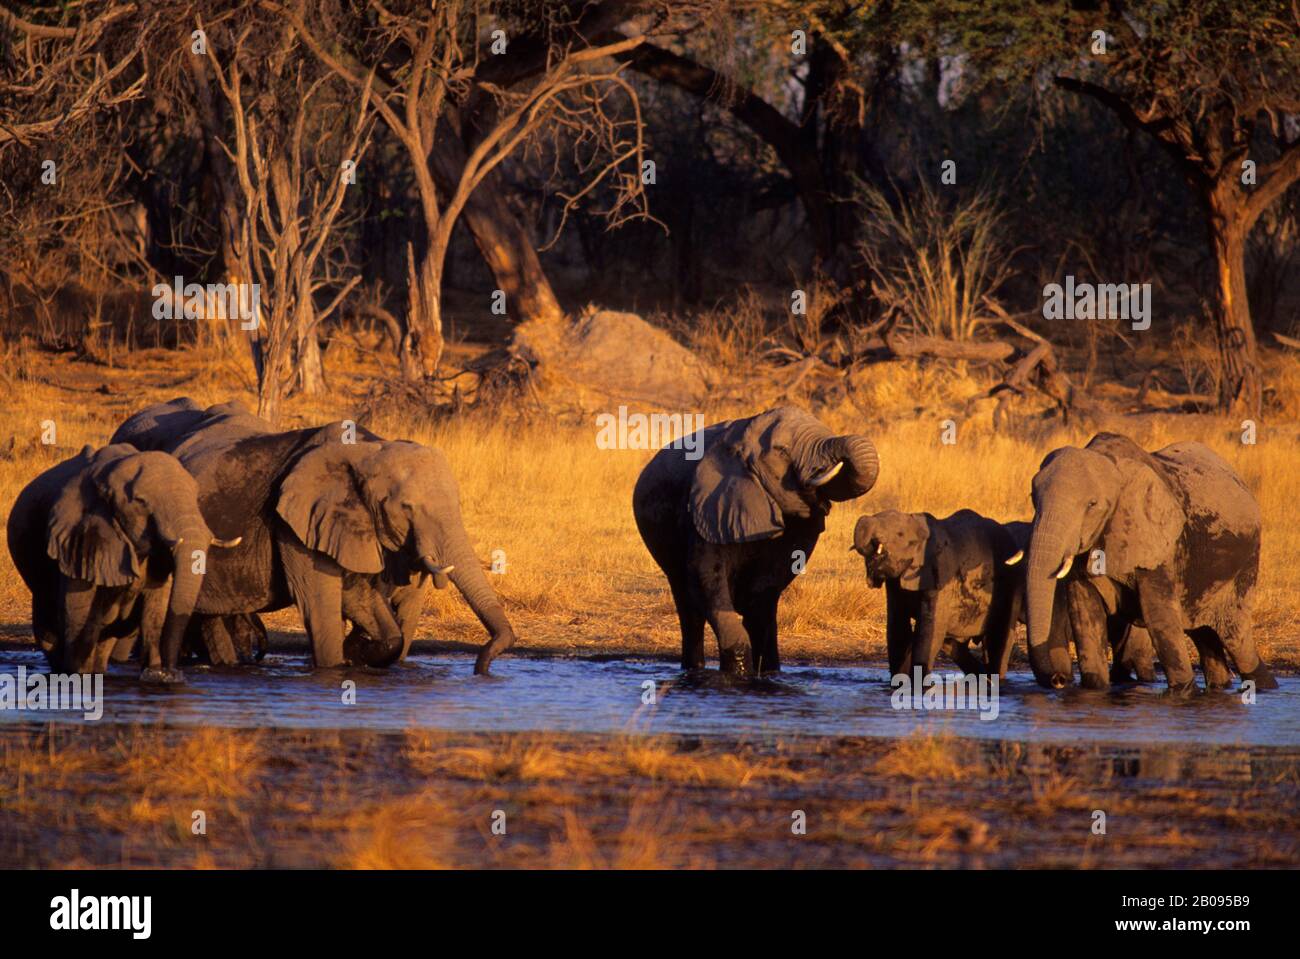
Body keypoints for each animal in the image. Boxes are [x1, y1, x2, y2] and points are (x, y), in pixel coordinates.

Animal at [113, 395, 517, 670]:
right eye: (405, 508)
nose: (482, 666)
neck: (368, 449)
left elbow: (363, 599)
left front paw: (360, 651)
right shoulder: (294, 525)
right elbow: (321, 602)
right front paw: (341, 663)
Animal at [634, 402, 878, 670]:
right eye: (781, 451)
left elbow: (765, 589)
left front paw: (764, 671)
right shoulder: (707, 509)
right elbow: (706, 579)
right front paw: (739, 670)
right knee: (689, 609)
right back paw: (694, 669)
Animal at [1019, 428, 1274, 691]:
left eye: (1092, 505)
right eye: (1033, 497)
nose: (1058, 680)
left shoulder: (1160, 545)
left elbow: (1158, 616)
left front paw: (1182, 692)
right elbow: (1085, 614)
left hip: (1245, 567)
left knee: (1237, 641)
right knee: (1206, 638)